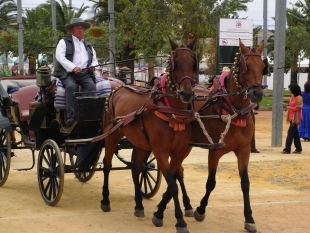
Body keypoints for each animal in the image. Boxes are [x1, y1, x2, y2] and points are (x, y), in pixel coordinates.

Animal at [100, 37, 199, 232]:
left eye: (193, 63)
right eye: (175, 63)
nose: (187, 93)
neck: (171, 111)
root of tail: (117, 89)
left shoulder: (180, 152)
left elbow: (175, 178)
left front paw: (161, 213)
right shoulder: (160, 150)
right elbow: (173, 184)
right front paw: (179, 221)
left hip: (139, 143)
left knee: (136, 168)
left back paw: (139, 205)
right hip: (111, 136)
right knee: (107, 165)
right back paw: (106, 200)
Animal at [150, 39, 266, 232]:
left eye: (263, 66)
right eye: (246, 66)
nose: (257, 93)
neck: (233, 110)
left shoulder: (244, 150)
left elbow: (245, 183)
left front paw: (249, 218)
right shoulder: (215, 150)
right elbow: (211, 182)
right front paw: (200, 209)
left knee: (178, 172)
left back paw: (185, 206)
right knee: (176, 173)